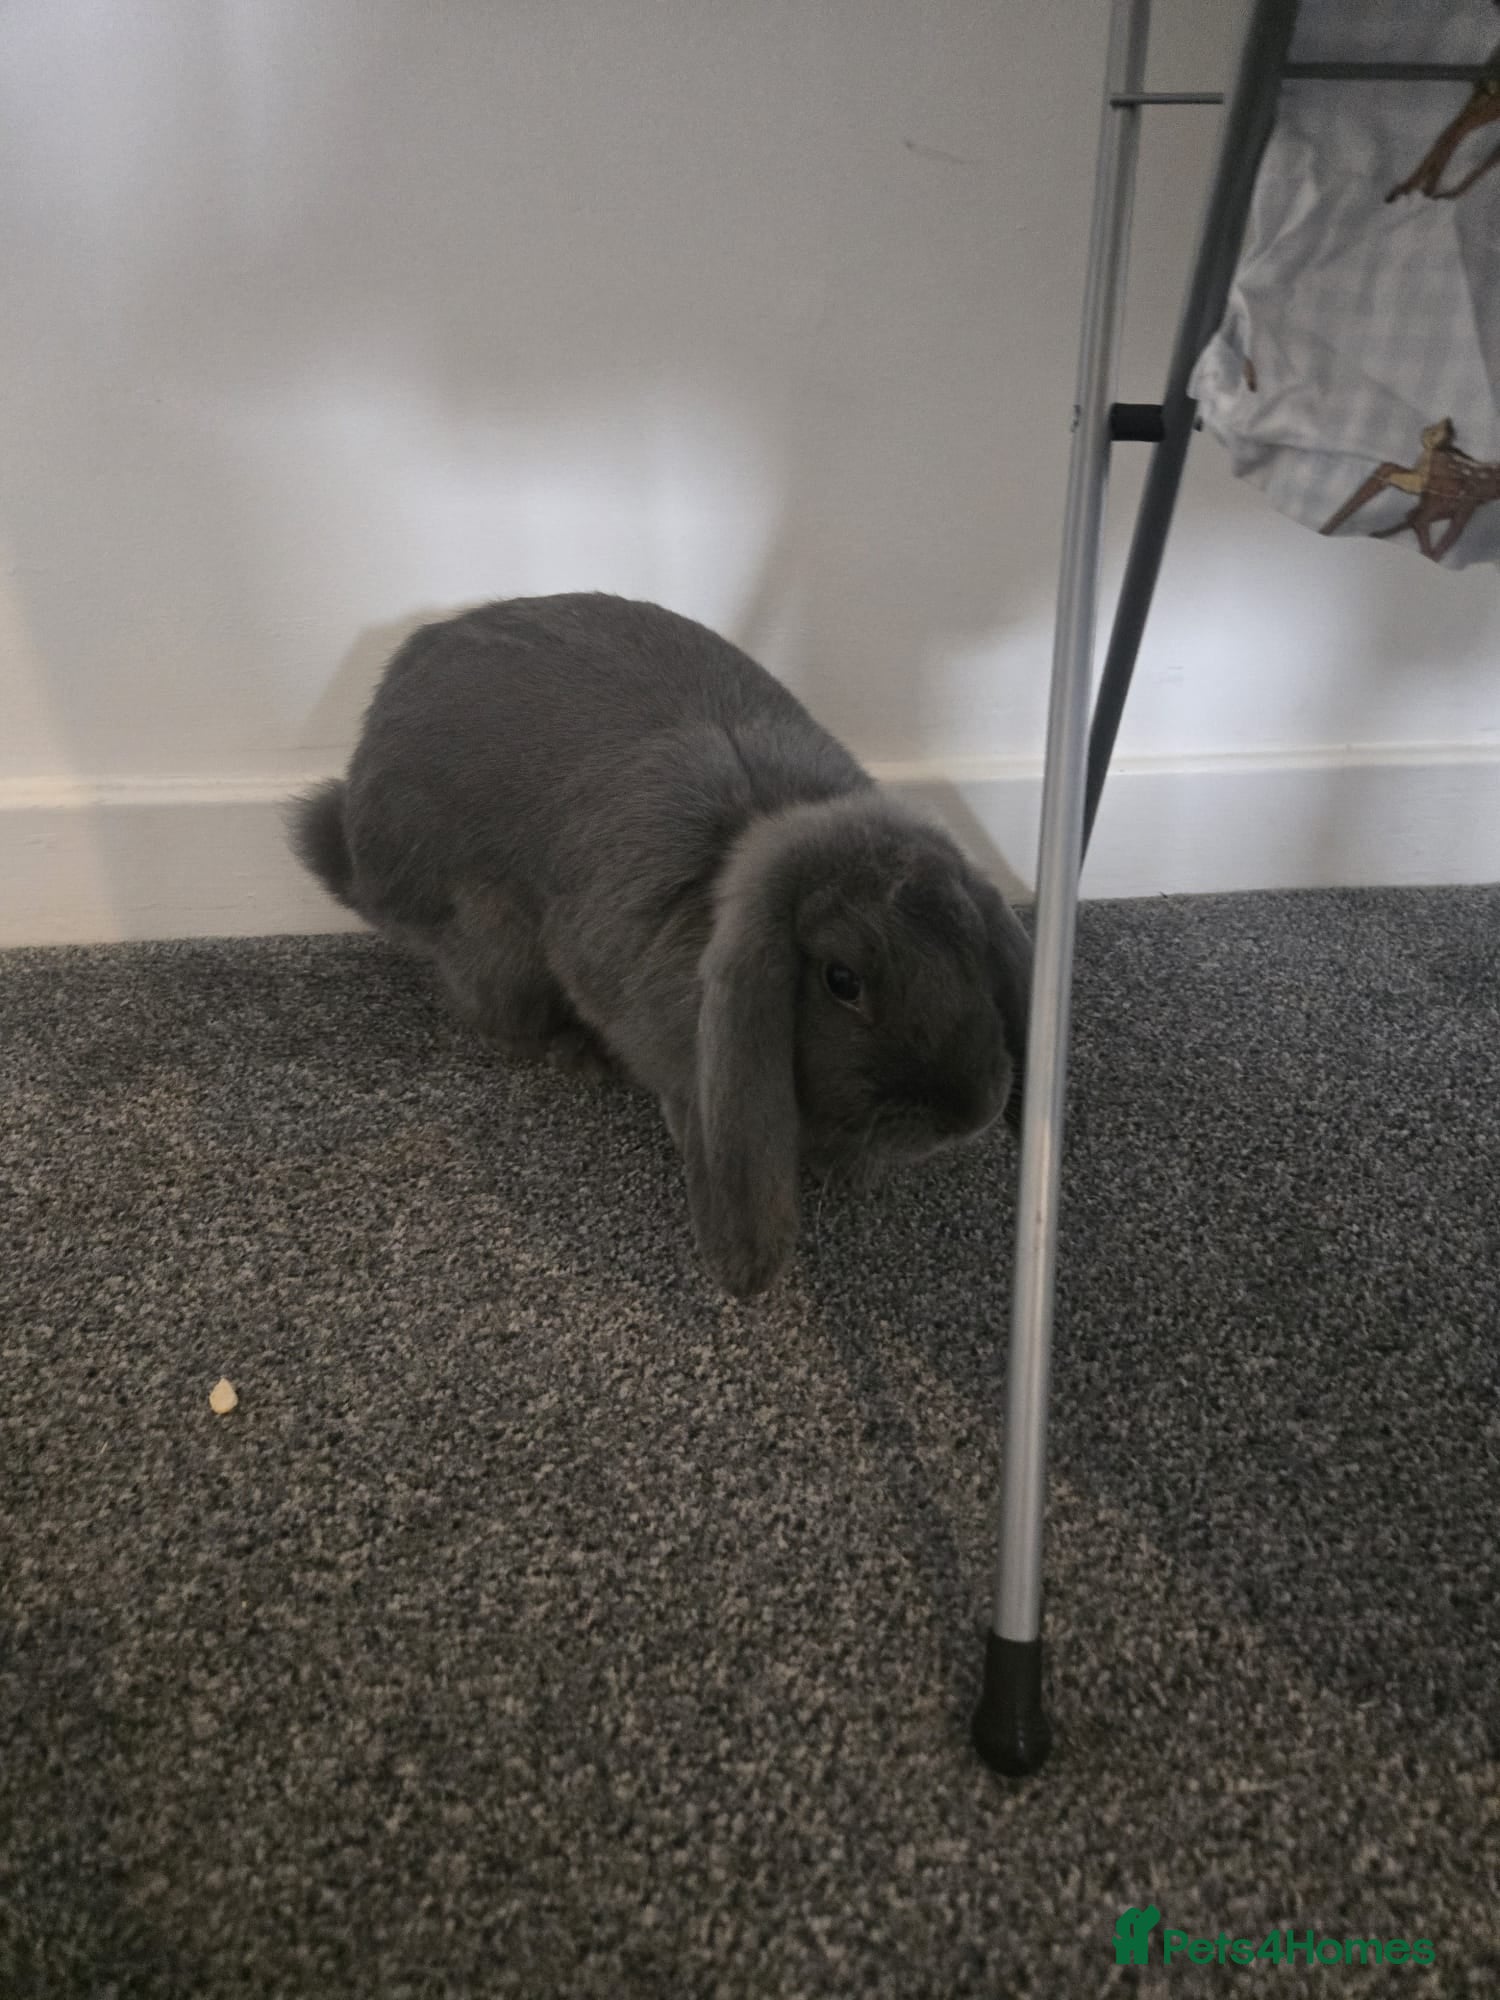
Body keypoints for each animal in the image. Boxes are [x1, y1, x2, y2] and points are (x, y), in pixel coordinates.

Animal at [289, 592, 1031, 1298]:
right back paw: (577, 1054)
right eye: (842, 980)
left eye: (971, 945)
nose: (969, 1115)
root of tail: (359, 853)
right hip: (495, 939)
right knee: (492, 1016)